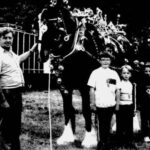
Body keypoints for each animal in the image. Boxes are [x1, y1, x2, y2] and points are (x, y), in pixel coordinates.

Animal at [37, 0, 131, 148]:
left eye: (54, 25)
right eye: (38, 25)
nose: (41, 55)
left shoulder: (86, 87)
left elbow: (86, 110)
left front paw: (89, 139)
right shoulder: (65, 87)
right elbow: (68, 109)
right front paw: (67, 137)